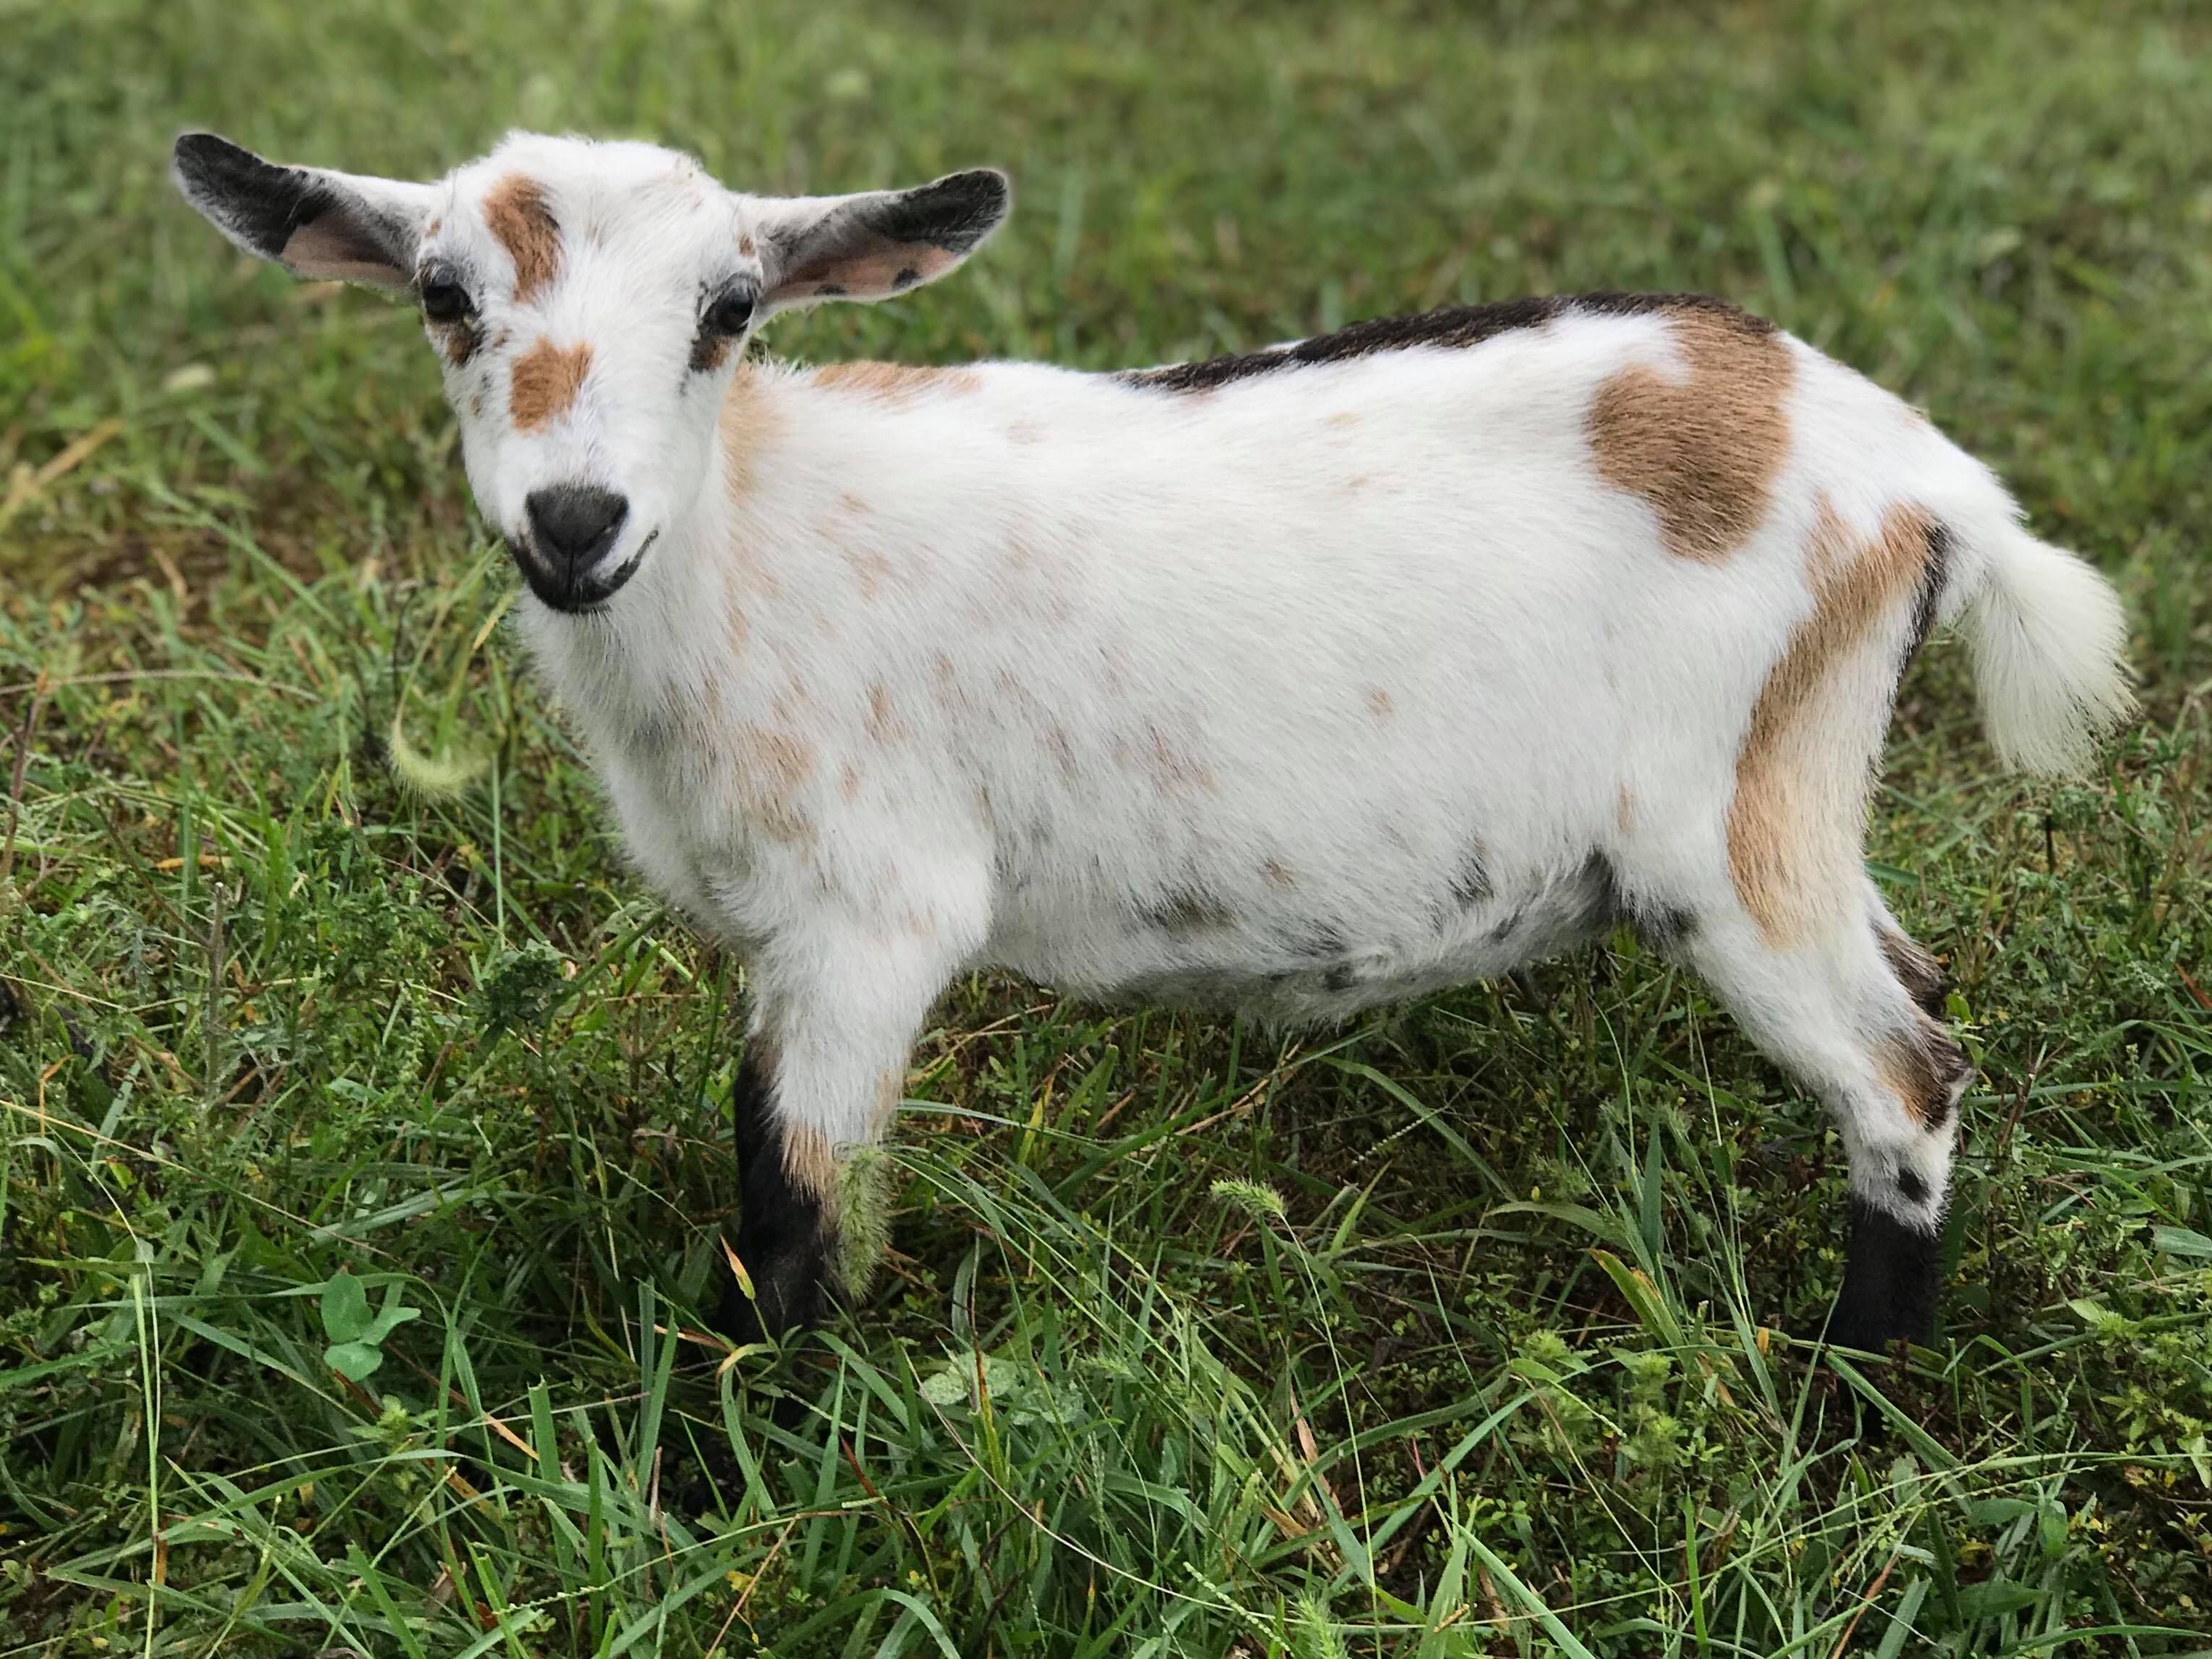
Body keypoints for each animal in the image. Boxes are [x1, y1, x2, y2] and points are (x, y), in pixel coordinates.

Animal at [173, 129, 2132, 1356]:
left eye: (732, 313)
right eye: (442, 298)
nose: (576, 519)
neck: (754, 547)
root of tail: (1911, 471)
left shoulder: (874, 913)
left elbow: (790, 1203)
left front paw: (732, 1482)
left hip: (1726, 819)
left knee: (1900, 1076)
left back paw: (1853, 1388)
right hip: (1797, 789)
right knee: (1918, 990)